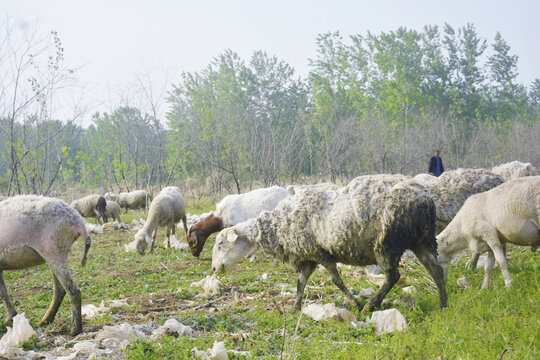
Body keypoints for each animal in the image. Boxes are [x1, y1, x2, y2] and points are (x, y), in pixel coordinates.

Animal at [0, 195, 90, 336]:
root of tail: (78, 220)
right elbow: (3, 291)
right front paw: (11, 318)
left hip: (54, 248)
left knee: (73, 291)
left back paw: (75, 330)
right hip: (56, 252)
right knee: (60, 290)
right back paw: (45, 321)